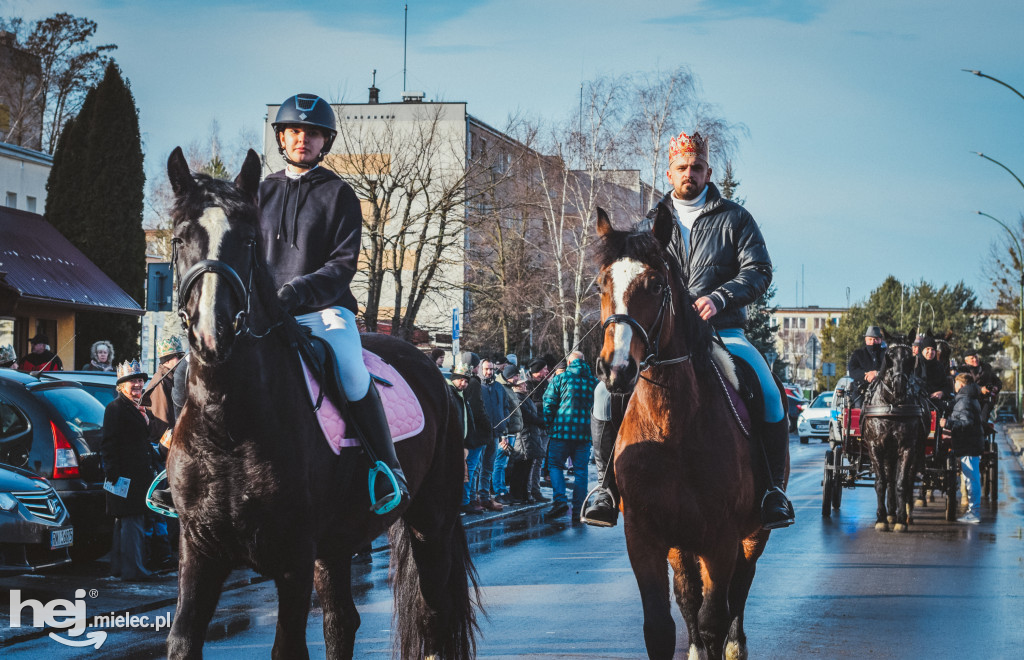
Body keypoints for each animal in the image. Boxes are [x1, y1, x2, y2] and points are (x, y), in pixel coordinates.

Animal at [163, 149, 479, 658]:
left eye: (248, 240)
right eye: (179, 238)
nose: (212, 335)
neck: (229, 424)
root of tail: (442, 378)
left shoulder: (293, 556)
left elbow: (288, 646)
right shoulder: (199, 550)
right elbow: (183, 640)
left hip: (431, 522)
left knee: (433, 617)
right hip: (338, 542)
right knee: (341, 621)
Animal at [593, 205, 774, 658]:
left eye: (656, 284)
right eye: (601, 283)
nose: (616, 369)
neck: (671, 429)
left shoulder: (722, 539)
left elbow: (715, 619)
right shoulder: (645, 537)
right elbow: (661, 626)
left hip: (753, 534)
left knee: (738, 593)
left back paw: (735, 645)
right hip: (681, 543)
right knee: (690, 597)